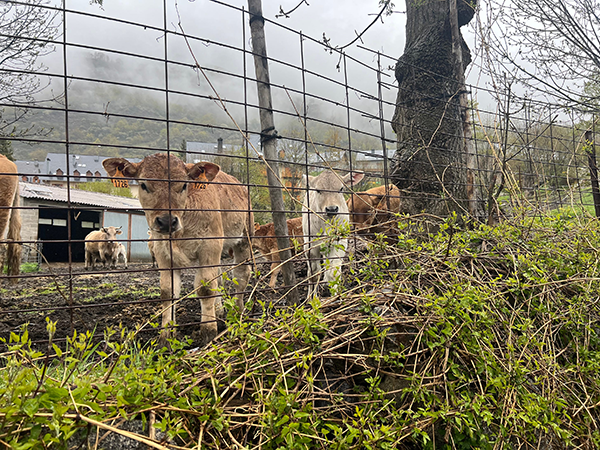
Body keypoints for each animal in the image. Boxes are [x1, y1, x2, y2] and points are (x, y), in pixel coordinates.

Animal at [103, 152, 253, 344]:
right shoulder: (162, 252)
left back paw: (238, 312)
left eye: (183, 185)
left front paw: (208, 331)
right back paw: (219, 314)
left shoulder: (209, 246)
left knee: (241, 275)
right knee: (219, 279)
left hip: (245, 238)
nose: (167, 221)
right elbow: (168, 292)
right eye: (143, 184)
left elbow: (206, 288)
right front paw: (166, 335)